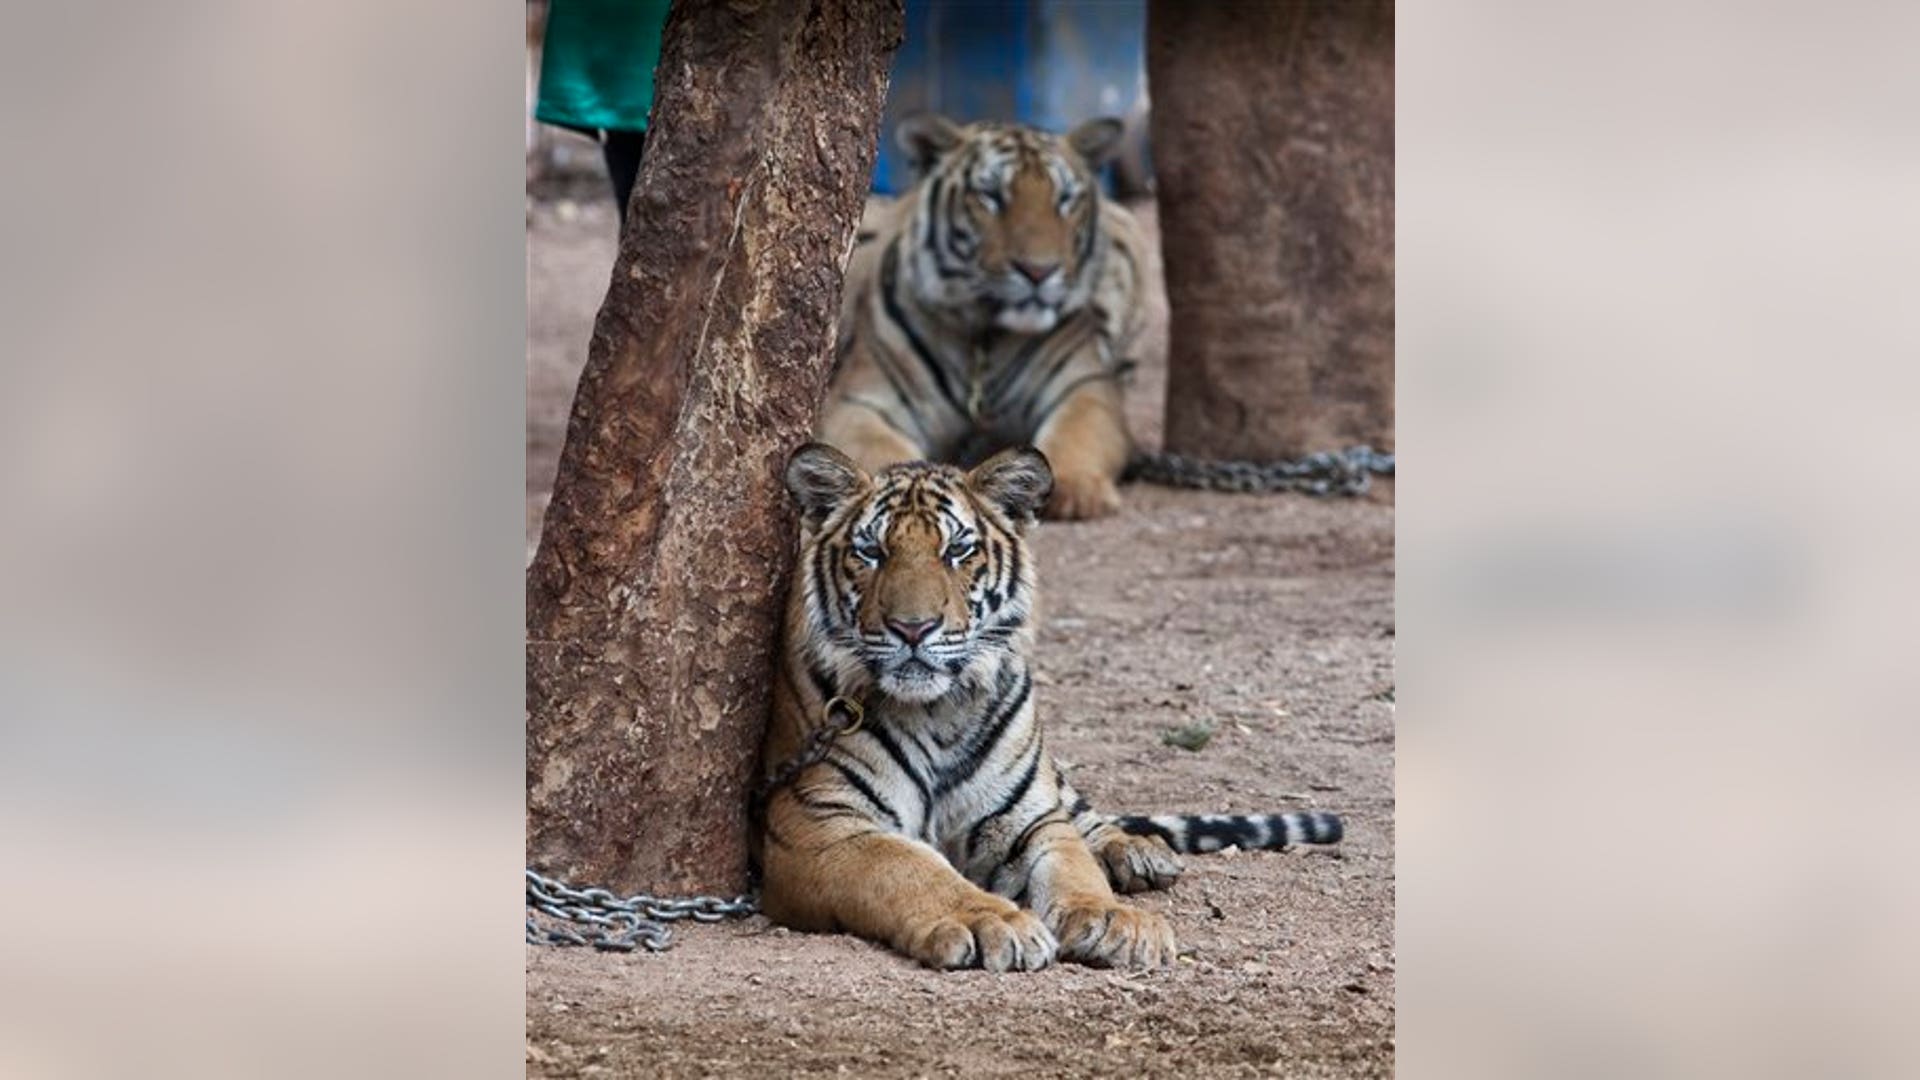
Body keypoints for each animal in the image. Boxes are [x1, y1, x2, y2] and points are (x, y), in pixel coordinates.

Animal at [754, 442, 1344, 971]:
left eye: (958, 551)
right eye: (871, 552)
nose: (913, 629)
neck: (938, 711)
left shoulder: (1028, 818)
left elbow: (1071, 863)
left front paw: (1112, 919)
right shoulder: (818, 824)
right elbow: (909, 867)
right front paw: (988, 922)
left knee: (1083, 813)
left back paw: (1138, 851)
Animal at [816, 114, 1149, 521]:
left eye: (1065, 200)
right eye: (991, 197)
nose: (1038, 271)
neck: (985, 337)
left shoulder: (1085, 385)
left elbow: (1078, 432)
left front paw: (1078, 489)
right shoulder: (862, 402)